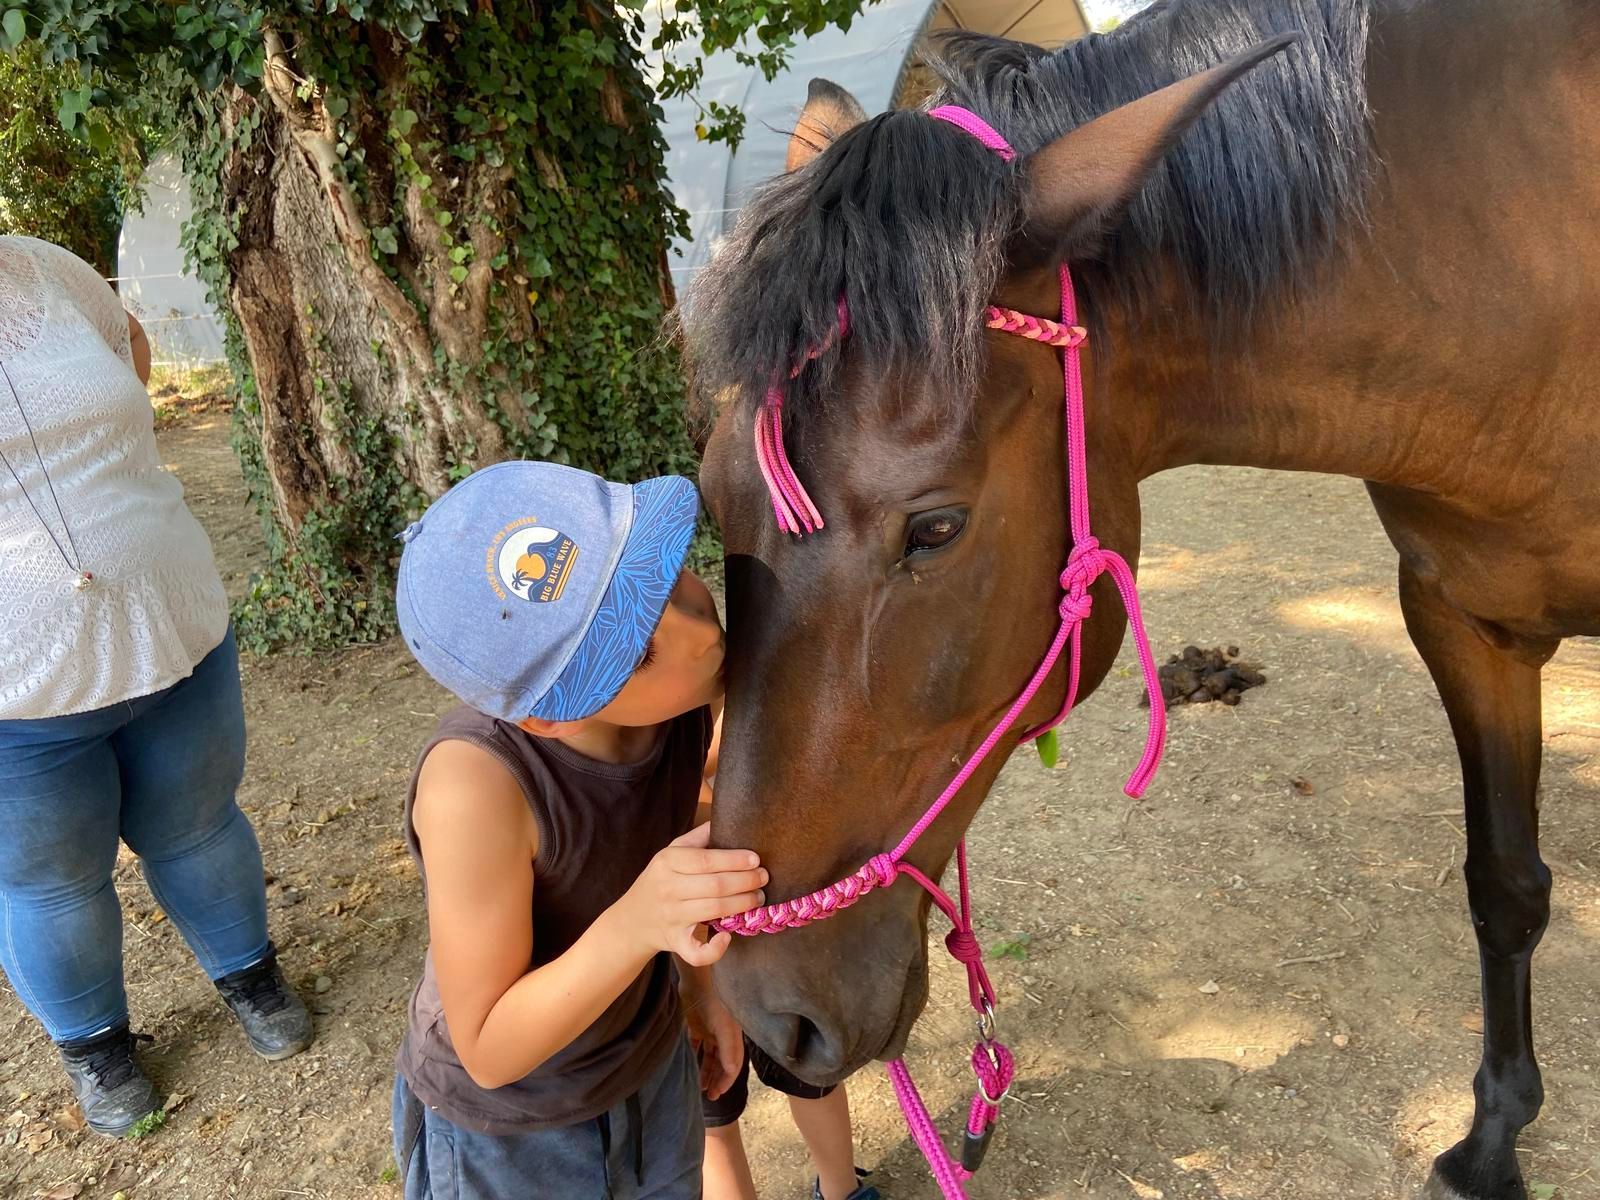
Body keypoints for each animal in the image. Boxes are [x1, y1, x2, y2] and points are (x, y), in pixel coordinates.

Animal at [680, 1, 1600, 1196]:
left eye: (934, 530)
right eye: (712, 497)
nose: (769, 1016)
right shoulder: (1458, 617)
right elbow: (1502, 884)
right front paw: (1493, 1135)